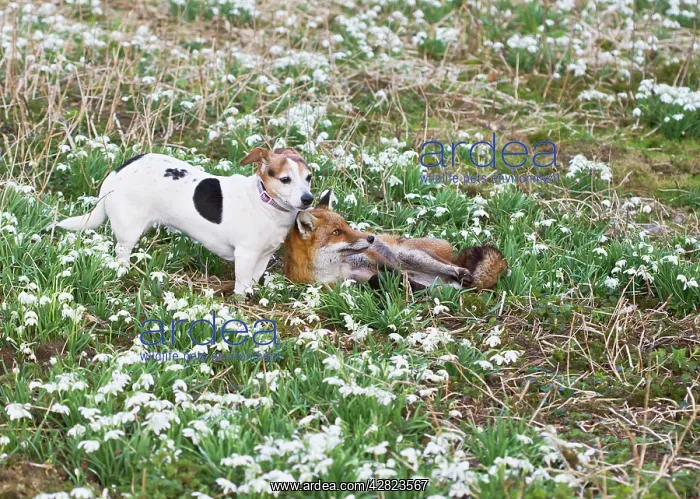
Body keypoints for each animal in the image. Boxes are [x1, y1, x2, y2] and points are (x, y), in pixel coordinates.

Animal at [283, 190, 509, 291]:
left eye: (347, 225)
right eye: (337, 232)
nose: (371, 237)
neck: (335, 268)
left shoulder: (374, 259)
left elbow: (396, 270)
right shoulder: (351, 281)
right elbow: (378, 279)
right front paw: (402, 285)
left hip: (413, 257)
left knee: (452, 268)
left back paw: (462, 273)